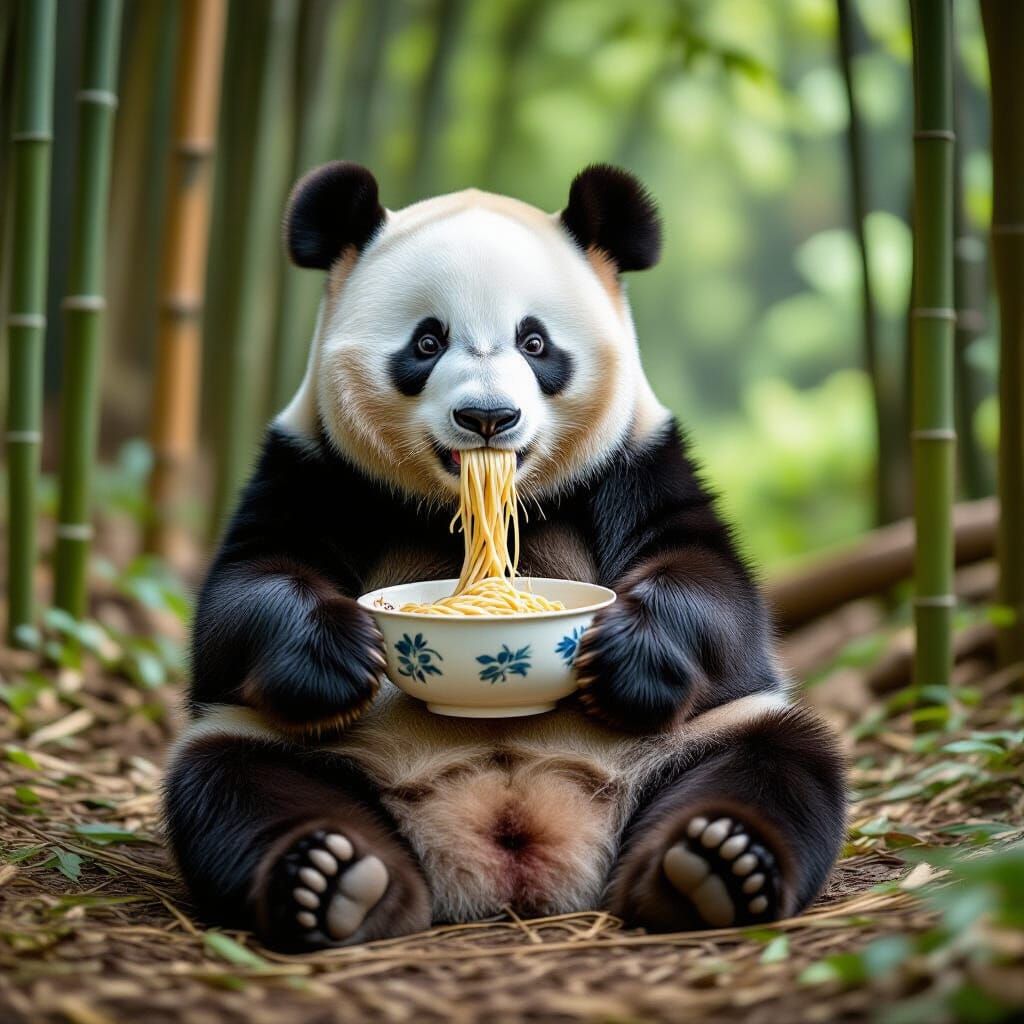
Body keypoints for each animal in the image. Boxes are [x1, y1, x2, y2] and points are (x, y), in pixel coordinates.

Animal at [164, 162, 847, 950]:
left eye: (536, 343)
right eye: (427, 341)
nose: (487, 417)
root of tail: (508, 850)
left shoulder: (637, 463)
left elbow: (716, 592)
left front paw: (628, 651)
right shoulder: (314, 467)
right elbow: (243, 593)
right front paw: (335, 652)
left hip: (695, 740)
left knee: (780, 758)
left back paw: (713, 870)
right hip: (304, 749)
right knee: (231, 781)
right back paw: (337, 882)